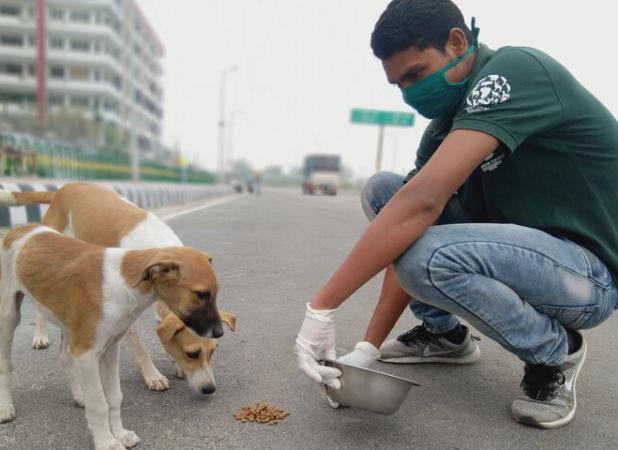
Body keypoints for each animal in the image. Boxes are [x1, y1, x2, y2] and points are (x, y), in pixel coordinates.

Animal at [0, 183, 236, 394]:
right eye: (192, 354)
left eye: (213, 352)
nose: (210, 389)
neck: (161, 252)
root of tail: (63, 188)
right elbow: (141, 349)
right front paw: (153, 376)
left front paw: (174, 362)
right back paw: (40, 335)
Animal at [0, 223, 221, 448]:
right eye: (201, 294)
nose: (219, 332)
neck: (122, 284)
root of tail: (18, 229)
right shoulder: (86, 355)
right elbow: (99, 404)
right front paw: (106, 442)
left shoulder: (110, 348)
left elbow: (114, 397)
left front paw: (120, 434)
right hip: (9, 317)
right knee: (5, 365)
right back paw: (5, 407)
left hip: (69, 324)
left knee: (64, 357)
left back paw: (79, 395)